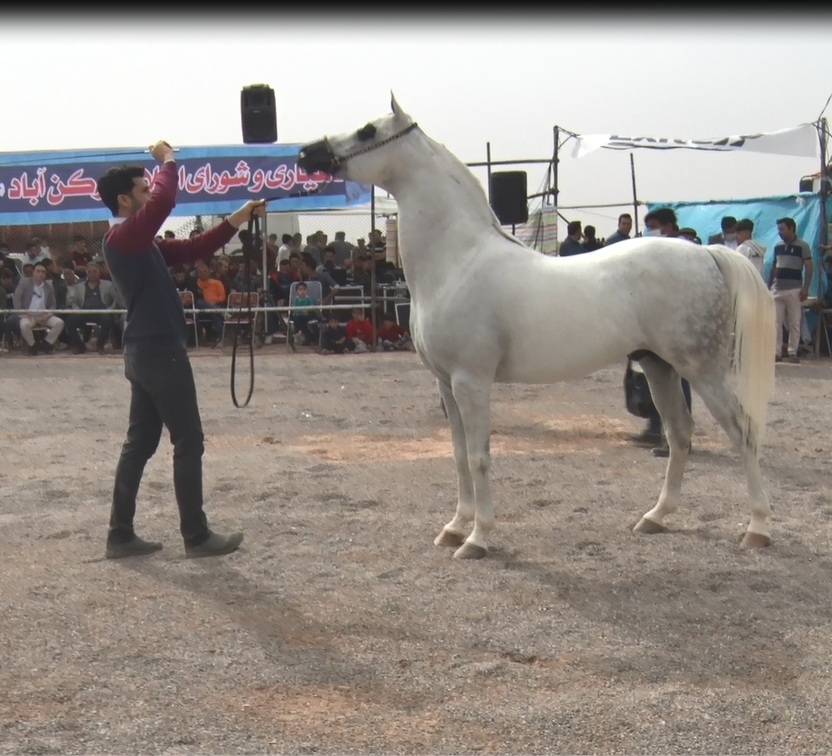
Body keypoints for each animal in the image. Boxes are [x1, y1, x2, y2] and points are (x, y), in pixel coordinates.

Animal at [296, 94, 776, 560]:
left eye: (367, 131)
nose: (307, 153)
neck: (457, 261)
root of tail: (707, 254)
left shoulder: (471, 381)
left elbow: (479, 456)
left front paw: (477, 538)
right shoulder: (446, 384)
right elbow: (458, 455)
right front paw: (454, 528)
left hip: (702, 371)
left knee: (743, 433)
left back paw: (756, 529)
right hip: (659, 367)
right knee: (679, 435)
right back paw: (656, 517)